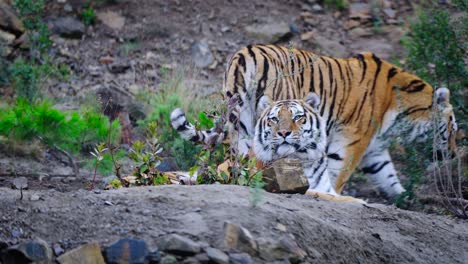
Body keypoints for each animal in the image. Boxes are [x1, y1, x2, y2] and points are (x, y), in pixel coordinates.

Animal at [171, 43, 458, 200]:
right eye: (453, 129)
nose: (455, 154)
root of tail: (244, 54)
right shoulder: (352, 141)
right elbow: (337, 174)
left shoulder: (375, 150)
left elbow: (388, 175)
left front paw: (405, 198)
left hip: (238, 123)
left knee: (237, 162)